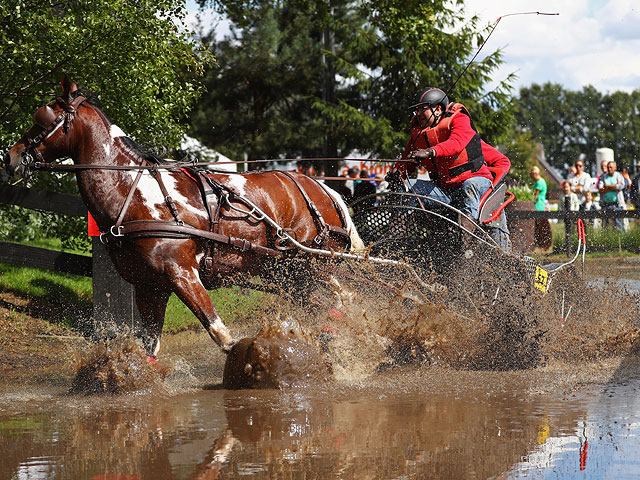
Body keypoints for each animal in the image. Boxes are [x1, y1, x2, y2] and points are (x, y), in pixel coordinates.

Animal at [3, 75, 364, 358]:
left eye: (42, 117)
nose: (12, 155)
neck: (135, 193)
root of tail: (323, 187)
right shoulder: (150, 286)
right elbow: (150, 347)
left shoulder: (183, 273)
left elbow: (221, 335)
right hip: (287, 273)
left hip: (312, 265)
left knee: (345, 298)